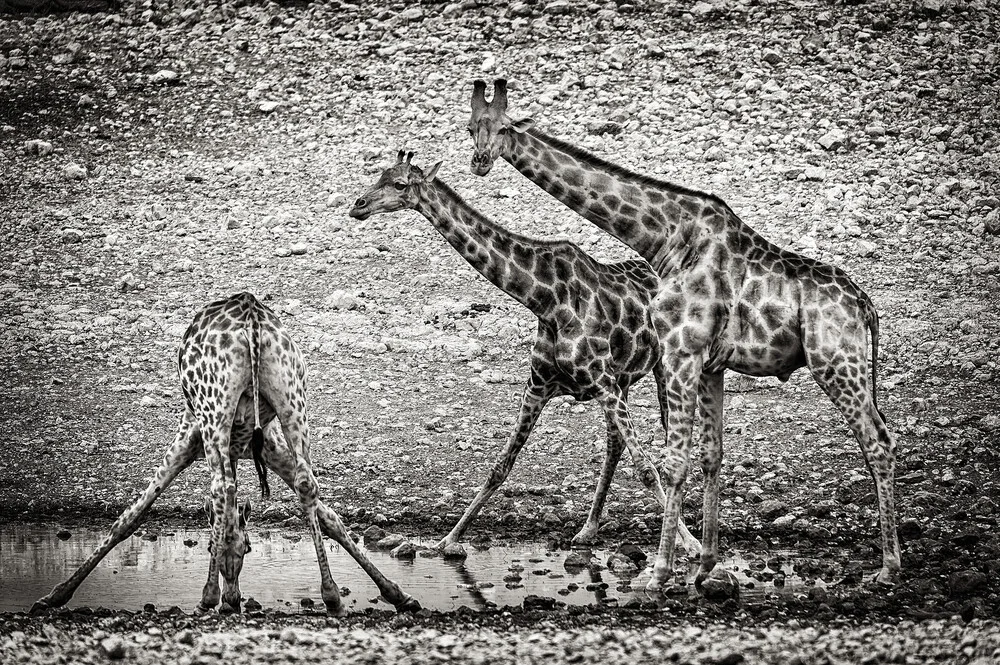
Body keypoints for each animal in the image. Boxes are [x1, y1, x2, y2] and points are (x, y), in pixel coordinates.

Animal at [31, 294, 420, 616]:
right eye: (246, 548)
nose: (234, 598)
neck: (238, 448)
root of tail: (252, 317)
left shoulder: (190, 433)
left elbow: (132, 515)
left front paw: (54, 595)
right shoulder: (268, 445)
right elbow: (329, 517)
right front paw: (397, 594)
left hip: (214, 409)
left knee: (222, 487)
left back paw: (207, 597)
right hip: (293, 396)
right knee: (306, 483)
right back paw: (331, 596)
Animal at [352, 152, 704, 556]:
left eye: (399, 184)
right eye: (380, 174)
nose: (358, 205)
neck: (545, 301)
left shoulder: (601, 382)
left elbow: (646, 469)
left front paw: (691, 543)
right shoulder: (541, 386)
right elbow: (500, 466)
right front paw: (450, 538)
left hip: (661, 369)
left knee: (666, 438)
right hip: (624, 380)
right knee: (615, 444)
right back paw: (588, 529)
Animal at [468, 78, 908, 592]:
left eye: (501, 127)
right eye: (470, 126)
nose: (479, 161)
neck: (665, 238)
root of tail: (867, 307)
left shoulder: (681, 351)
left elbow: (673, 461)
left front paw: (659, 574)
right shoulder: (711, 363)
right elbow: (711, 456)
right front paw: (706, 567)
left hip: (836, 362)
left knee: (878, 444)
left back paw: (888, 568)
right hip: (846, 364)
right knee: (881, 440)